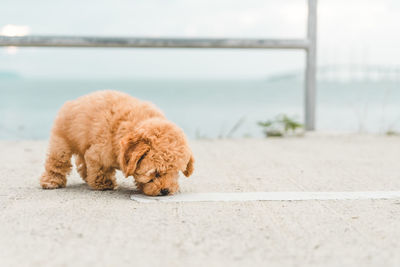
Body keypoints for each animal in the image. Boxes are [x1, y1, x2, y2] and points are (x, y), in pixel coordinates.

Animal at [39, 91, 194, 196]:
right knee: (57, 161)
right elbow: (100, 168)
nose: (166, 190)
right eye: (155, 173)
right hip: (62, 141)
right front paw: (103, 184)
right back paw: (51, 181)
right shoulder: (99, 153)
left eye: (175, 172)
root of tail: (74, 101)